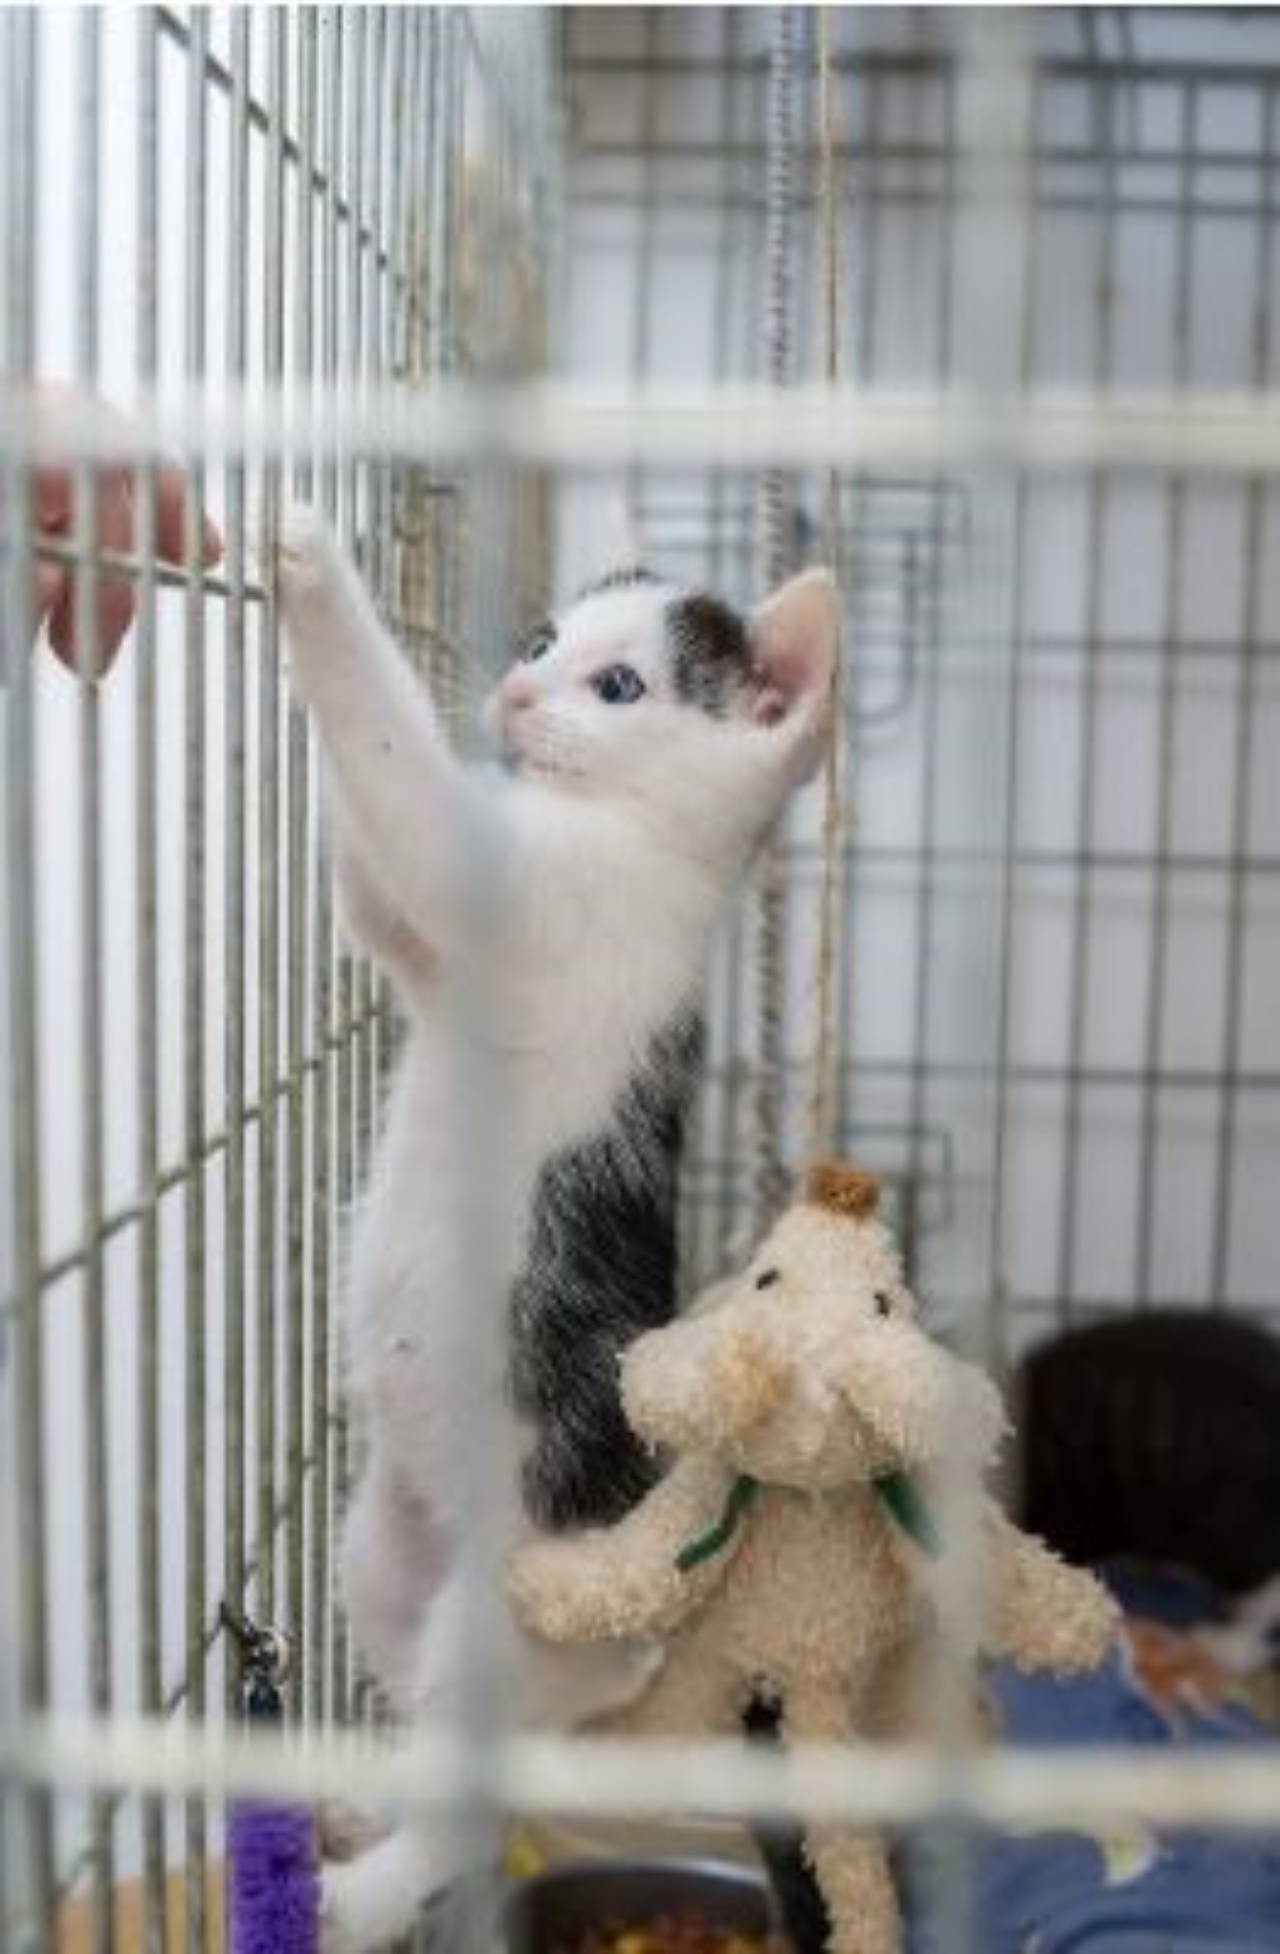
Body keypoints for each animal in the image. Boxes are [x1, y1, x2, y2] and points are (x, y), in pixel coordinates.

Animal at [277, 511, 840, 1946]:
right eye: (540, 639)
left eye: (620, 687)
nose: (517, 693)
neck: (621, 831)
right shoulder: (425, 933)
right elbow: (372, 884)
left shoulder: (549, 902)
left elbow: (399, 774)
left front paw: (314, 567)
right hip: (385, 1549)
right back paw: (362, 1810)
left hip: (505, 1627)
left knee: (465, 1802)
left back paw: (357, 1894)